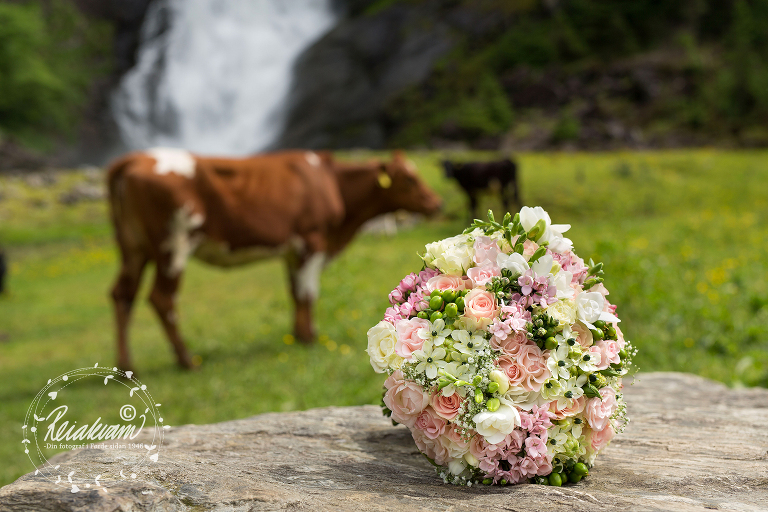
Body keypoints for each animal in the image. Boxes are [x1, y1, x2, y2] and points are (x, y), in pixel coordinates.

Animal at [109, 148, 444, 372]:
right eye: (409, 179)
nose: (436, 203)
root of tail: (135, 157)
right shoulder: (312, 241)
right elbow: (308, 294)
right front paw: (310, 338)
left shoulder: (291, 251)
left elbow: (294, 293)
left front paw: (297, 335)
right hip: (173, 244)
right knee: (162, 298)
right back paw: (187, 360)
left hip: (133, 247)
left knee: (122, 294)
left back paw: (126, 366)